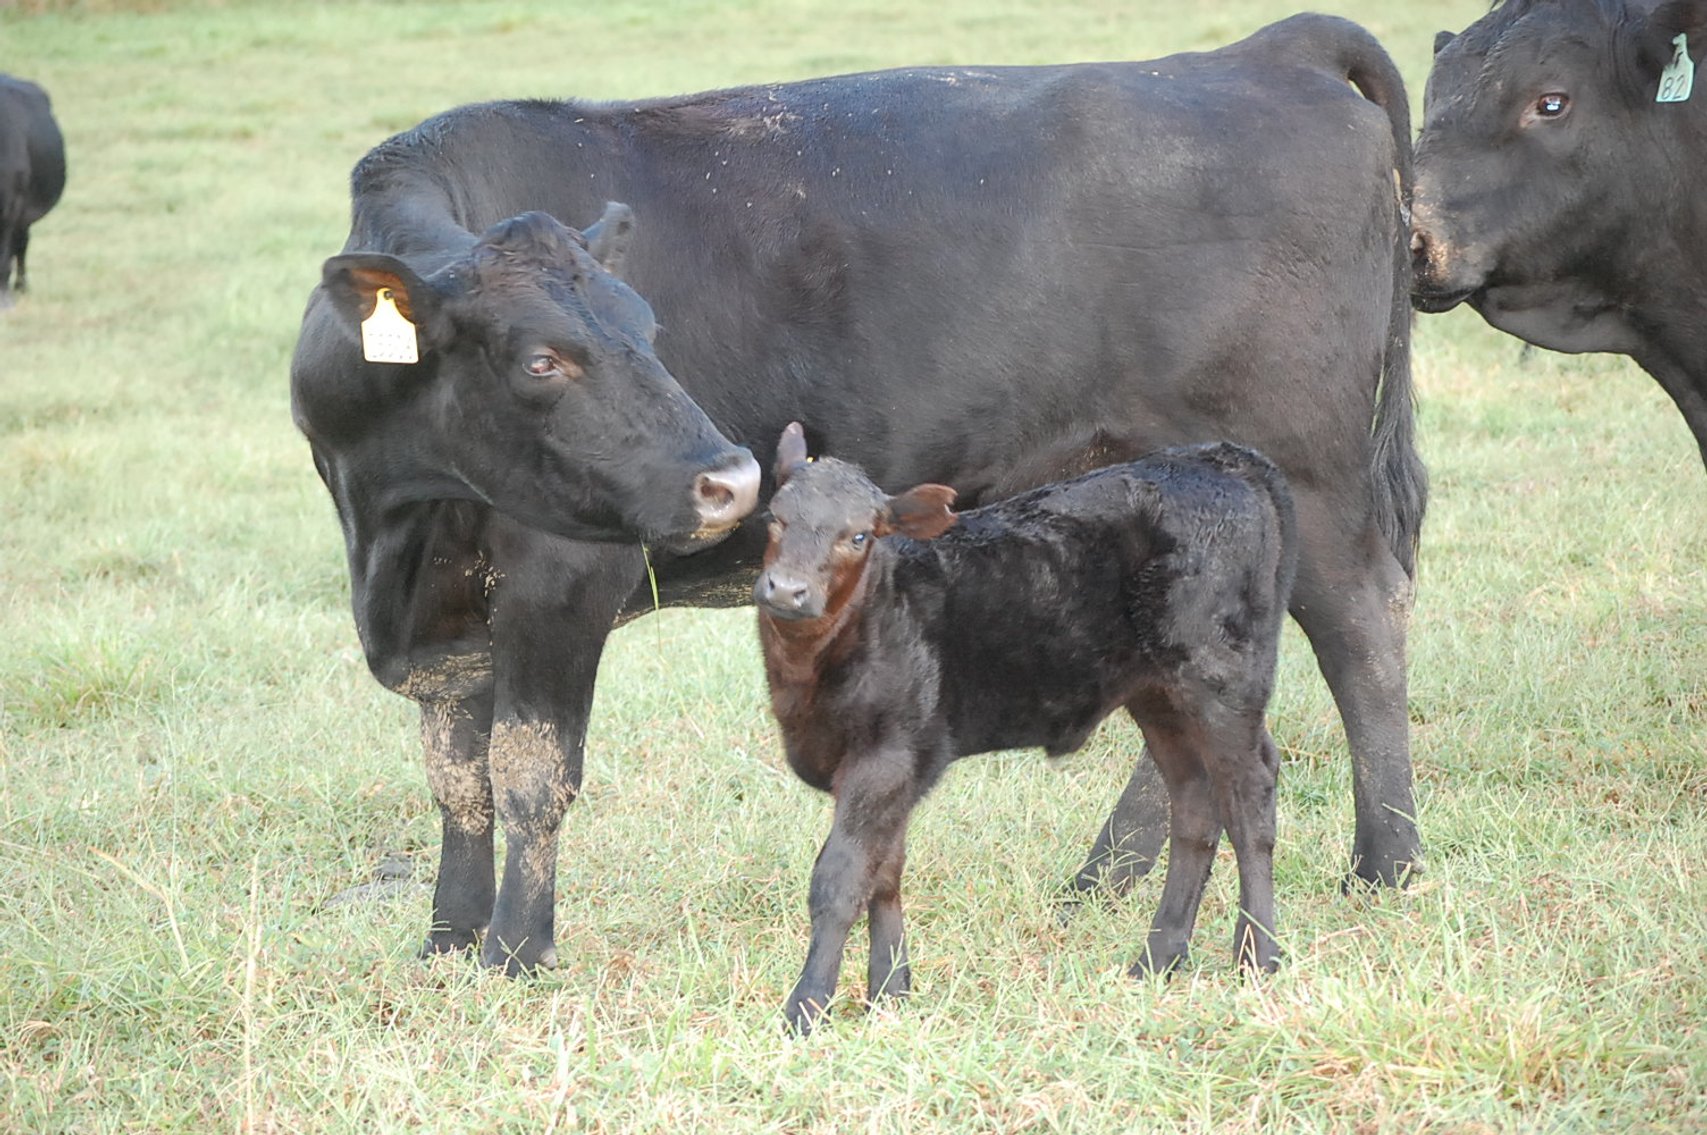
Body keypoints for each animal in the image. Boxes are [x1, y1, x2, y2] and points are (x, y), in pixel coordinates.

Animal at [755, 424, 1296, 1034]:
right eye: (775, 518)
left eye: (859, 536)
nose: (786, 589)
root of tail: (1219, 457)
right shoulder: (900, 767)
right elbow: (885, 873)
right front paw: (891, 995)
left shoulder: (883, 757)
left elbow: (841, 879)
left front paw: (806, 1009)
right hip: (1161, 696)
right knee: (1194, 806)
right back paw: (1157, 959)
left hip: (1221, 678)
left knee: (1249, 799)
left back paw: (1258, 957)